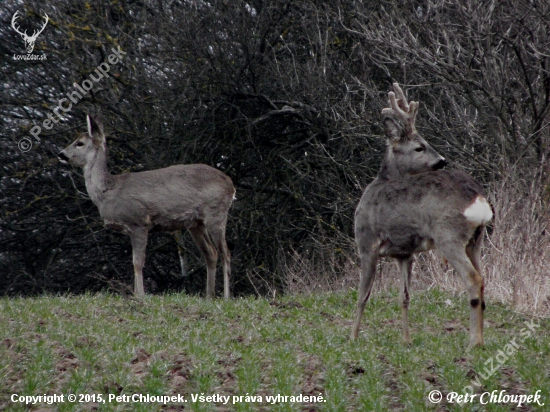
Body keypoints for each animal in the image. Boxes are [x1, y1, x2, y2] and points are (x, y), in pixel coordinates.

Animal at [59, 114, 236, 298]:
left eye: (79, 143)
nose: (61, 154)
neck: (109, 191)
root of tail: (230, 184)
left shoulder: (139, 222)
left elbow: (138, 262)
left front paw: (140, 295)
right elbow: (134, 262)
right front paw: (136, 294)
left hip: (217, 214)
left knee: (226, 253)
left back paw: (226, 296)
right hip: (195, 224)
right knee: (211, 253)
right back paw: (209, 296)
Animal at [354, 83, 496, 348]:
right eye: (420, 146)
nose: (442, 161)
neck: (380, 182)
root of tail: (478, 198)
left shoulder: (366, 243)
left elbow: (363, 295)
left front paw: (353, 336)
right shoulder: (405, 253)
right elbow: (404, 296)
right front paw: (406, 340)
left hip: (448, 235)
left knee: (473, 279)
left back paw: (473, 341)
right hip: (476, 240)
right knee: (483, 278)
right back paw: (480, 338)